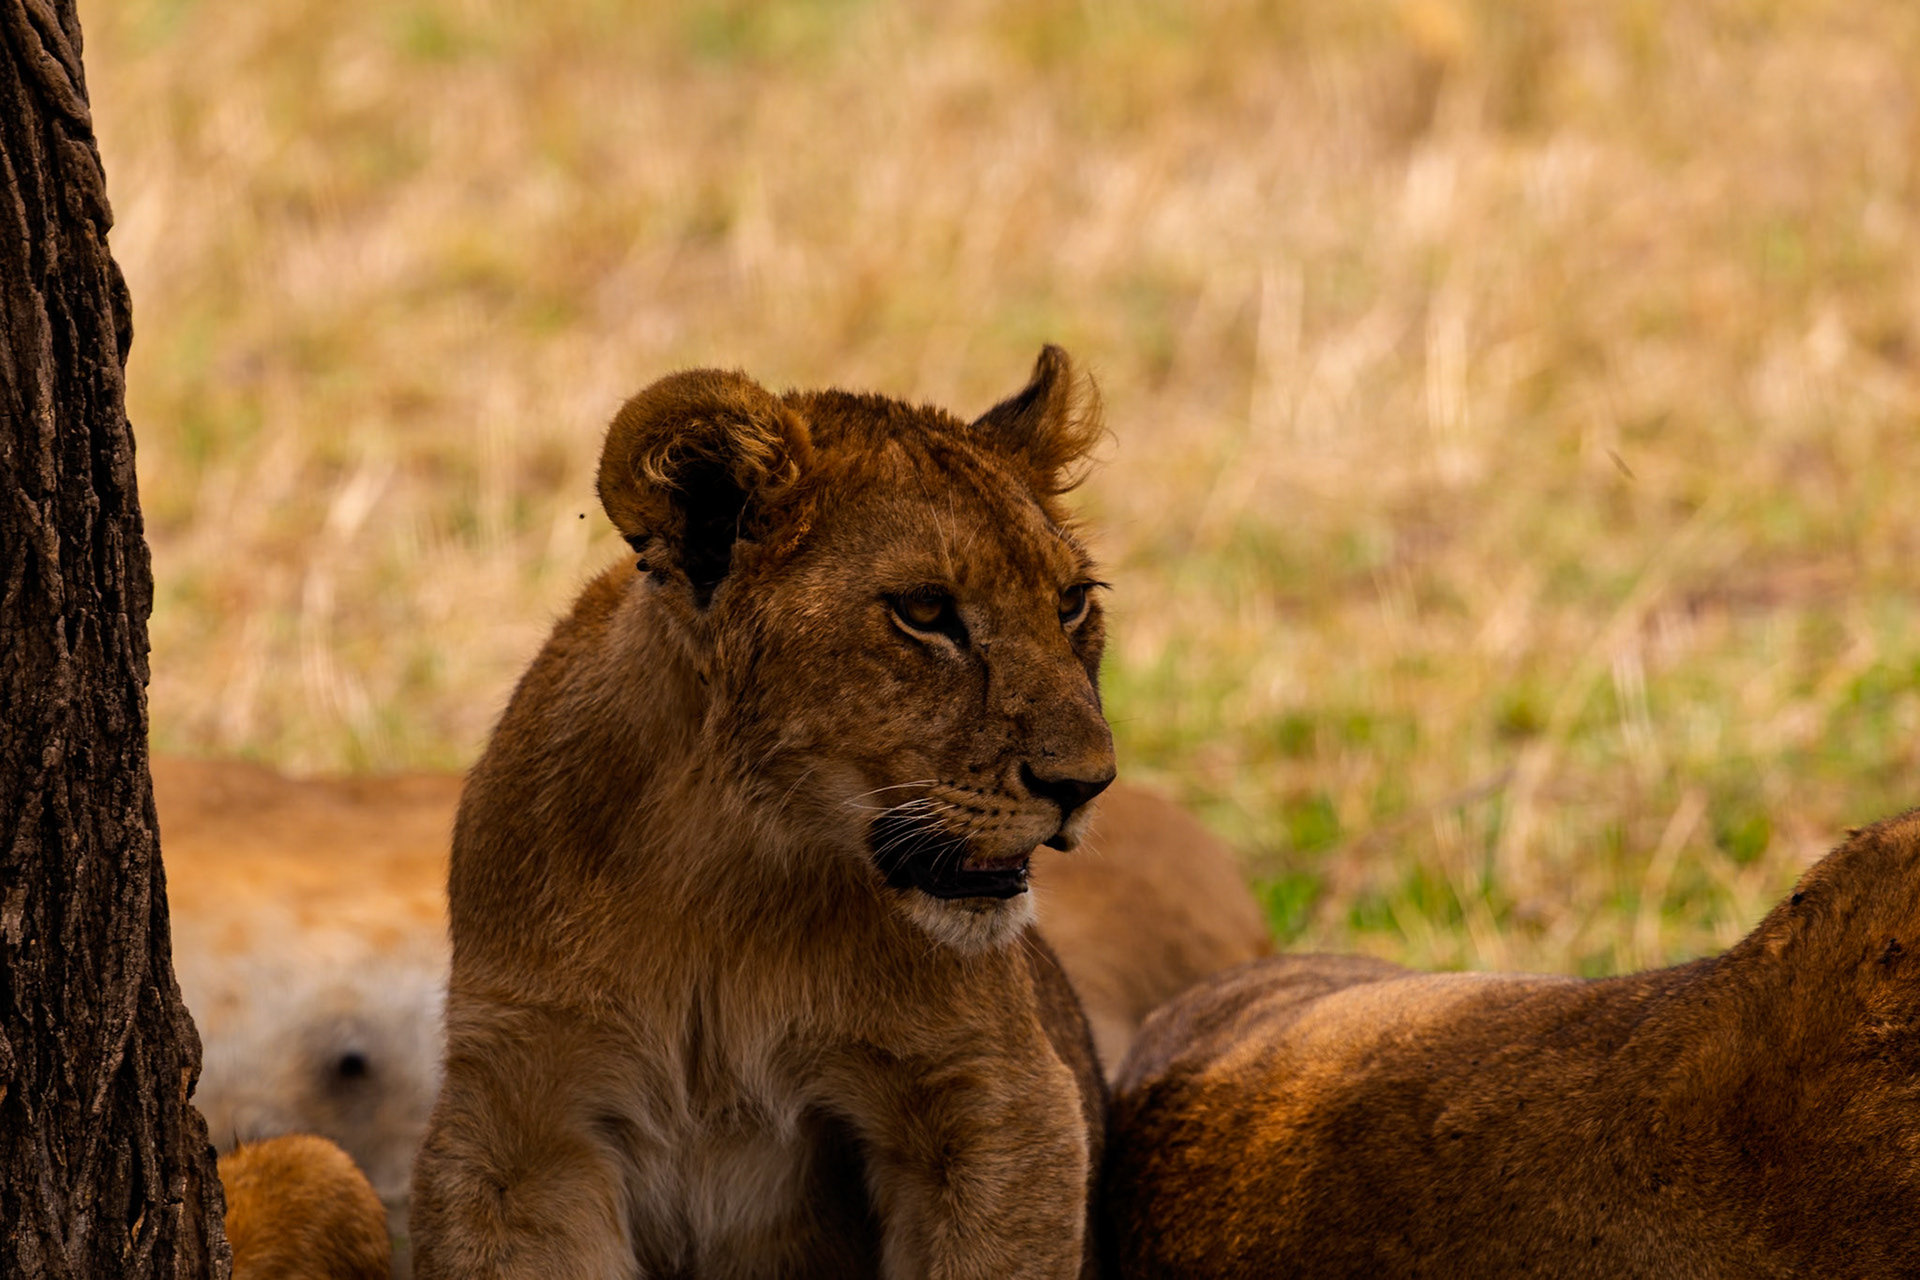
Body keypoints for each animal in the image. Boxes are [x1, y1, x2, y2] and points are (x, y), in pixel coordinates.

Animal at [404, 346, 1168, 1278]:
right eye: (924, 612)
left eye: (1071, 603)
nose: (1089, 782)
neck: (727, 874)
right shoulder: (519, 1122)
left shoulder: (996, 1097)